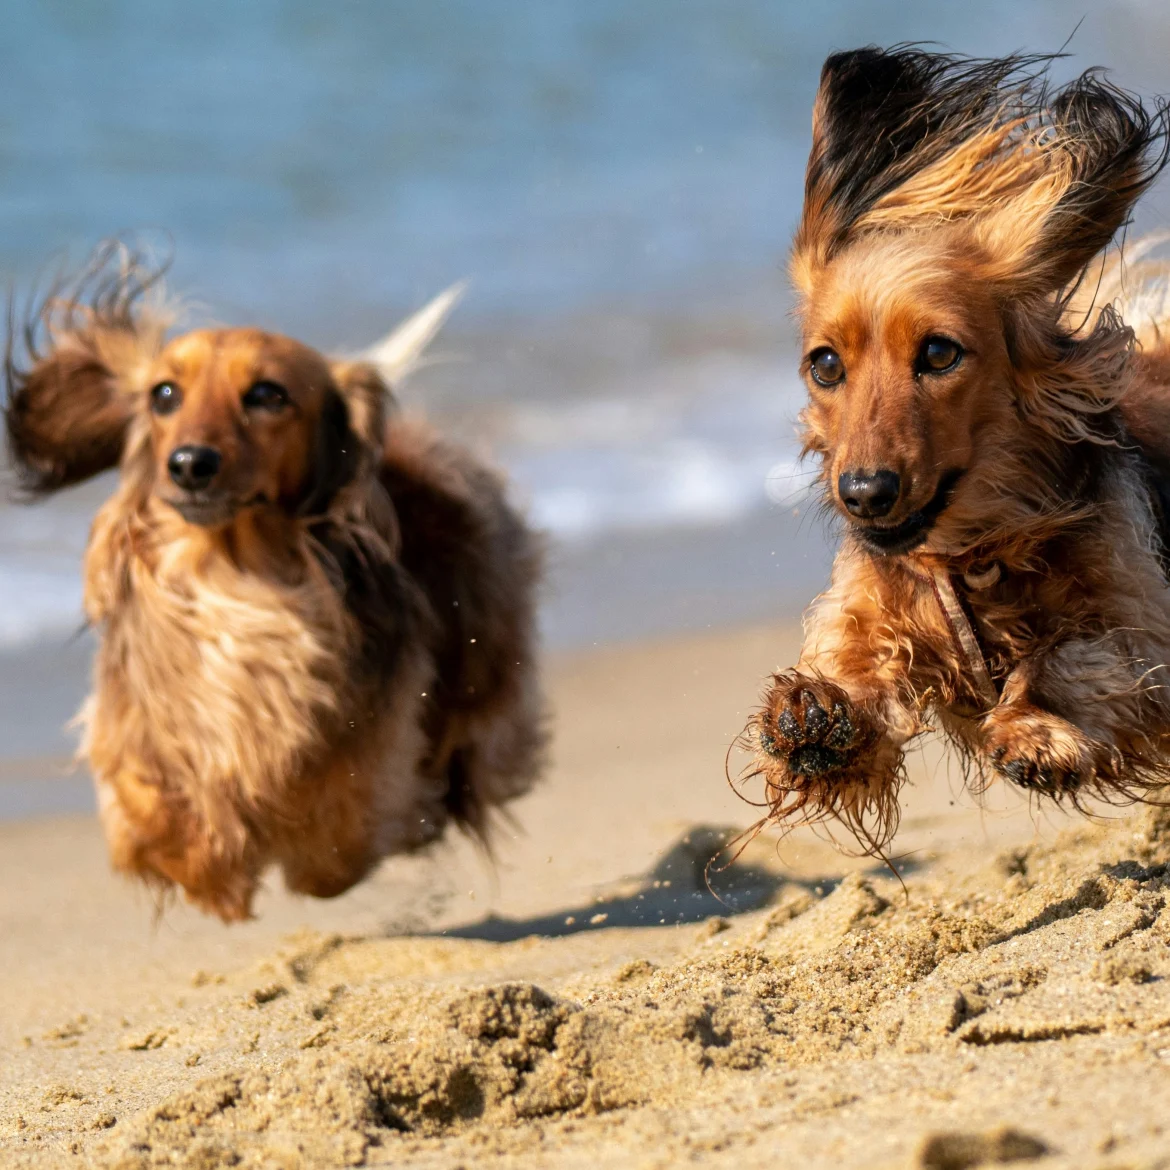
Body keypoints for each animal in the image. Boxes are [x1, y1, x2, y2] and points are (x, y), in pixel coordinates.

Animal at [5, 249, 542, 921]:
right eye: (164, 394)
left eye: (266, 394)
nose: (189, 464)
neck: (234, 576)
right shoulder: (139, 728)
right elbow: (150, 810)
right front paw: (213, 867)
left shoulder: (370, 745)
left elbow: (335, 834)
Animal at [744, 47, 1170, 851]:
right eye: (825, 364)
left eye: (940, 353)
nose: (864, 494)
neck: (974, 557)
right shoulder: (872, 610)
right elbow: (854, 667)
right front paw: (816, 716)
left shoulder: (1143, 628)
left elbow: (1073, 655)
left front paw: (1037, 728)